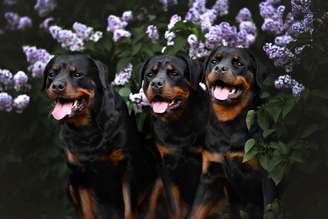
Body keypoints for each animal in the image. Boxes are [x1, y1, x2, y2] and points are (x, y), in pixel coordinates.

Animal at [42, 53, 156, 219]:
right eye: (51, 74)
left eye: (77, 74)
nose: (57, 86)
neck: (87, 129)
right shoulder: (79, 173)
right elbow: (86, 210)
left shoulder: (128, 168)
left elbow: (129, 208)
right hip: (71, 183)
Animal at [136, 54, 209, 218]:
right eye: (150, 74)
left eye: (174, 73)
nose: (156, 83)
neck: (179, 123)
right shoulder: (166, 167)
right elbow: (174, 206)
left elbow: (198, 208)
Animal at [193, 47, 278, 218]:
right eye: (214, 61)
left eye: (239, 63)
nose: (220, 68)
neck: (228, 125)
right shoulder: (210, 176)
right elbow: (195, 211)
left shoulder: (268, 175)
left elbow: (269, 210)